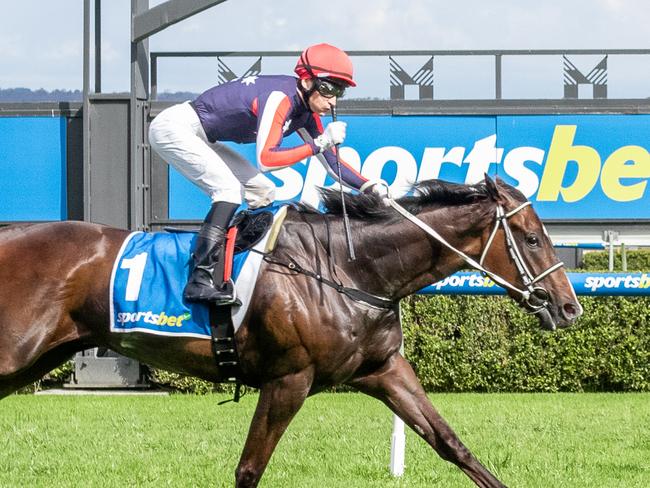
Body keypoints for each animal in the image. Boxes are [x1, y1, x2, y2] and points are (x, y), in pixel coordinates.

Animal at [0, 176, 576, 488]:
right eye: (531, 237)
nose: (569, 308)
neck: (350, 269)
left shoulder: (382, 370)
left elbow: (451, 443)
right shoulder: (288, 381)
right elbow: (249, 470)